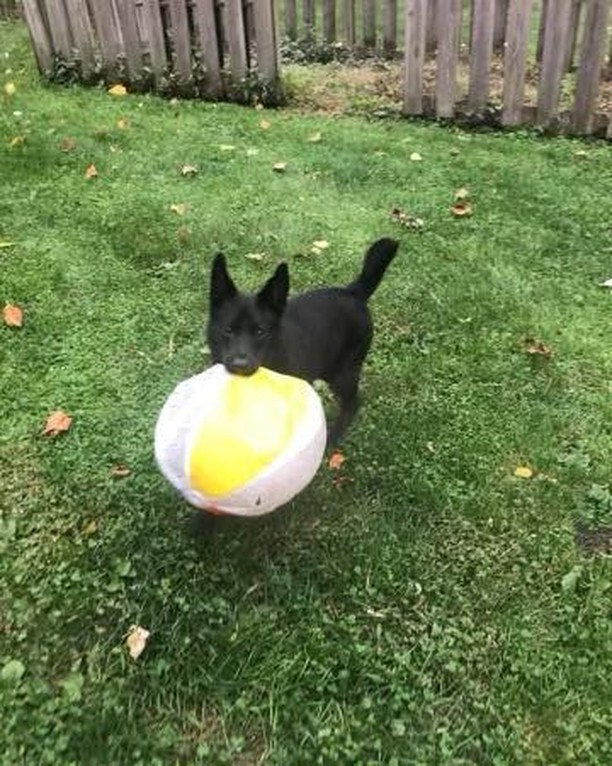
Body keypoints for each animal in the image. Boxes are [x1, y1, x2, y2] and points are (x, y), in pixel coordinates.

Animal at [207, 237, 396, 448]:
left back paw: (332, 439)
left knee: (352, 404)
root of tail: (353, 292)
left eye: (260, 332)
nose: (240, 365)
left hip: (342, 373)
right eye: (228, 330)